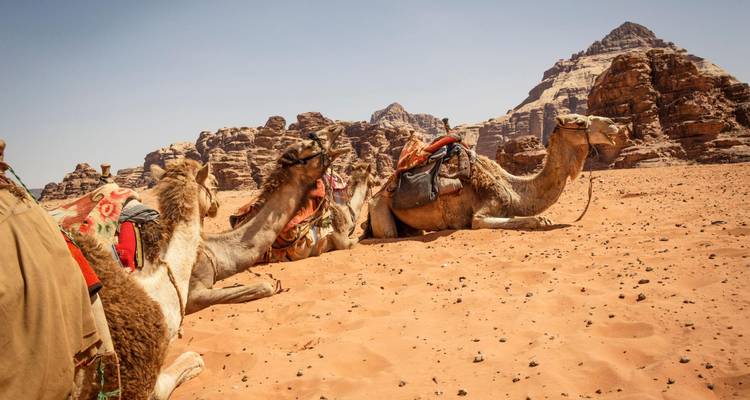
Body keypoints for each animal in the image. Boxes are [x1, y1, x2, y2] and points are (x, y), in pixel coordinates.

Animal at [367, 114, 619, 237]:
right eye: (579, 121)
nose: (613, 124)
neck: (514, 189)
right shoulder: (482, 213)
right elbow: (528, 220)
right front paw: (541, 220)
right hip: (380, 208)